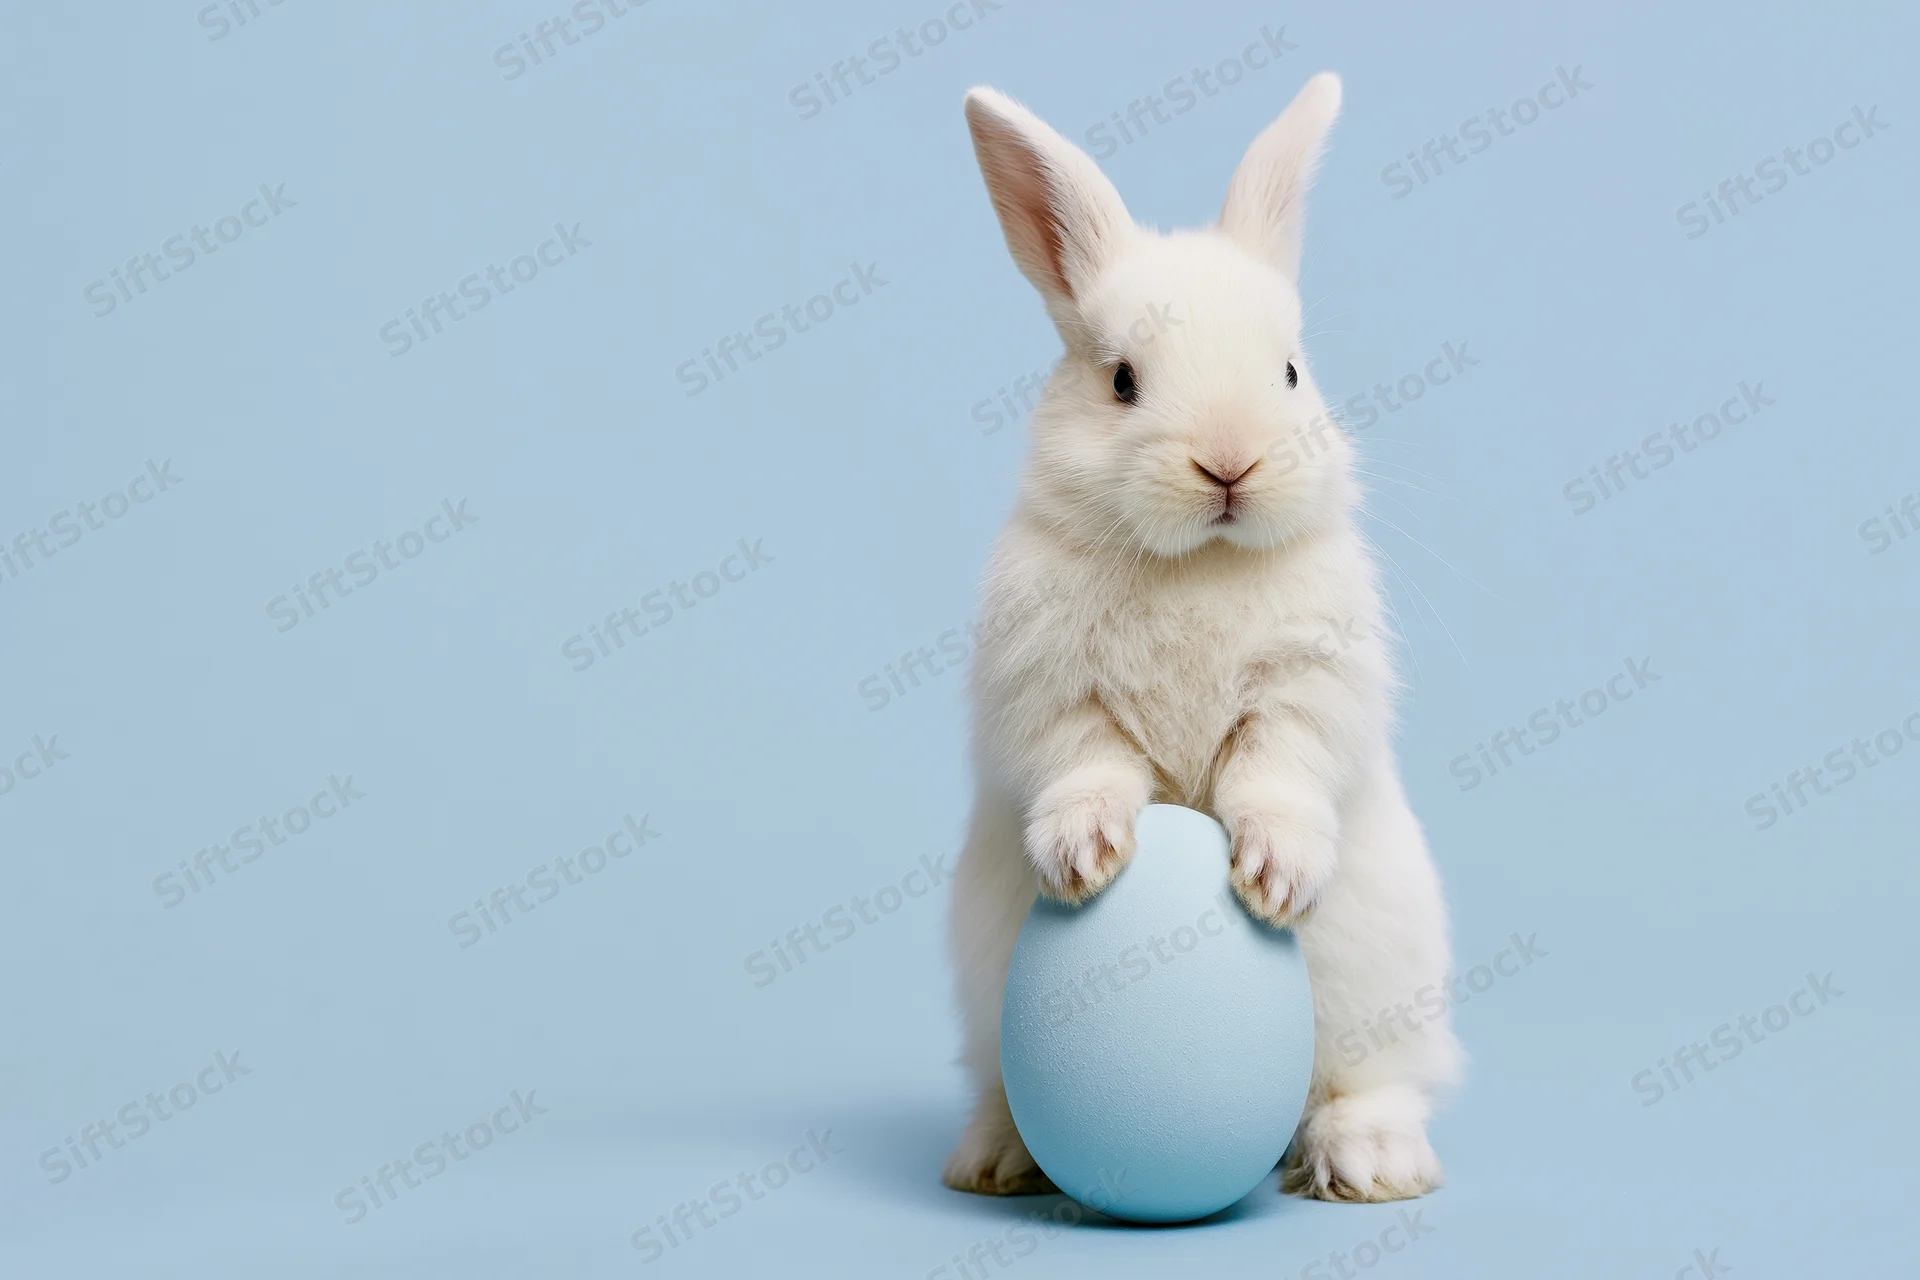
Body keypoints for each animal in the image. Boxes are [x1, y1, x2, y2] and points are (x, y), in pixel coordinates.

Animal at [942, 73, 1462, 1205]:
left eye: (1292, 371)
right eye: (1123, 380)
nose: (1230, 463)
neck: (1198, 561)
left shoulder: (1306, 687)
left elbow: (1278, 769)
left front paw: (1274, 875)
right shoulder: (1049, 695)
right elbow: (1083, 762)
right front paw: (1084, 856)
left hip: (1381, 977)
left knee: (1371, 1081)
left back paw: (1373, 1163)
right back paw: (995, 1159)